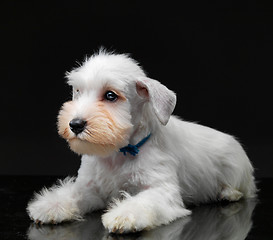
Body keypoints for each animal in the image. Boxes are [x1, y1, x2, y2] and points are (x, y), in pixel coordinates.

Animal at [27, 49, 255, 233]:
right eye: (78, 91)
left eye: (110, 96)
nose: (75, 124)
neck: (119, 153)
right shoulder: (90, 189)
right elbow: (73, 194)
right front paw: (49, 206)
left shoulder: (161, 190)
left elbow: (142, 202)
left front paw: (124, 215)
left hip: (237, 170)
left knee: (245, 189)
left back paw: (228, 193)